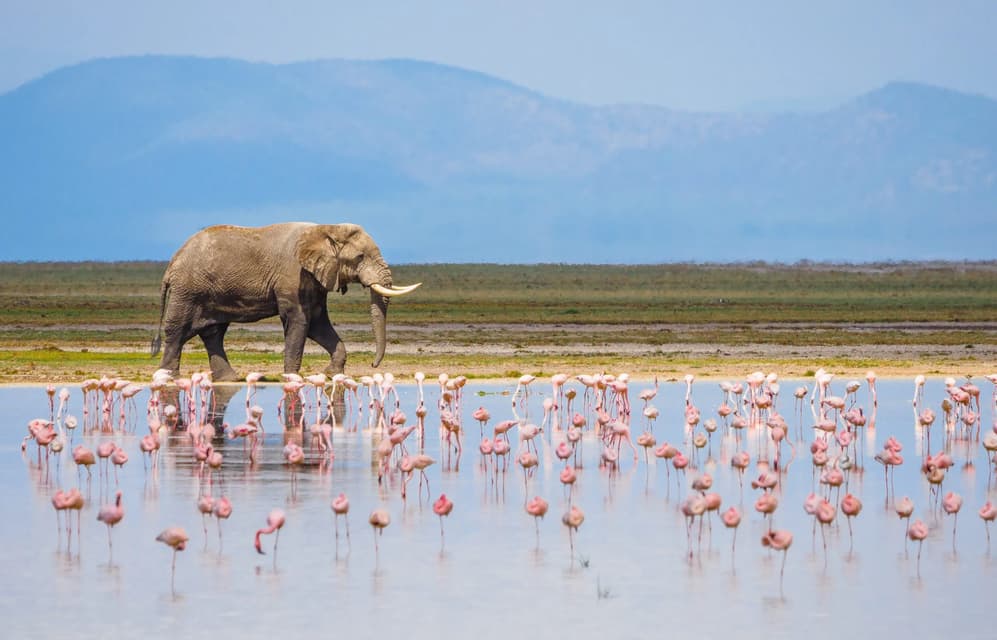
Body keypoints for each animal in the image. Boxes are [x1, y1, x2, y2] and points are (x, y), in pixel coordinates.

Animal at [151, 222, 419, 382]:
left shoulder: (314, 279)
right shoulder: (293, 276)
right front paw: (292, 377)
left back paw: (229, 379)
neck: (325, 228)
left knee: (212, 332)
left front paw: (331, 374)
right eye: (360, 257)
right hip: (188, 290)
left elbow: (317, 324)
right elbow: (299, 321)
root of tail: (171, 263)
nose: (374, 366)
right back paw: (169, 376)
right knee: (178, 329)